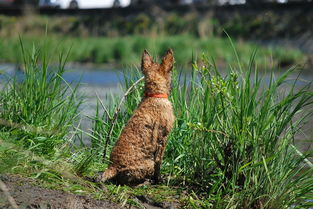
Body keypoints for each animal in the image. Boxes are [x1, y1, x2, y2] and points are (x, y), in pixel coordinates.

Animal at [100, 48, 174, 185]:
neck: (154, 95)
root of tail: (112, 168)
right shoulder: (162, 139)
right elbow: (159, 163)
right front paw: (159, 180)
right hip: (148, 163)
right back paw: (145, 182)